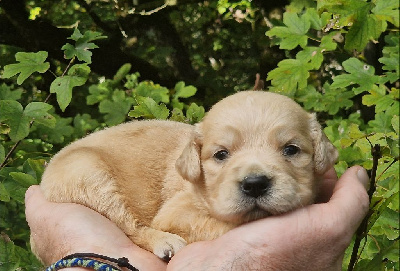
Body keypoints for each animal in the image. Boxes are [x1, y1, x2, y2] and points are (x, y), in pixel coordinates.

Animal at [37, 91, 338, 262]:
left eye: (291, 149)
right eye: (221, 154)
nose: (255, 185)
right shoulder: (176, 213)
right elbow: (217, 225)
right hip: (90, 174)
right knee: (130, 227)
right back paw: (164, 242)